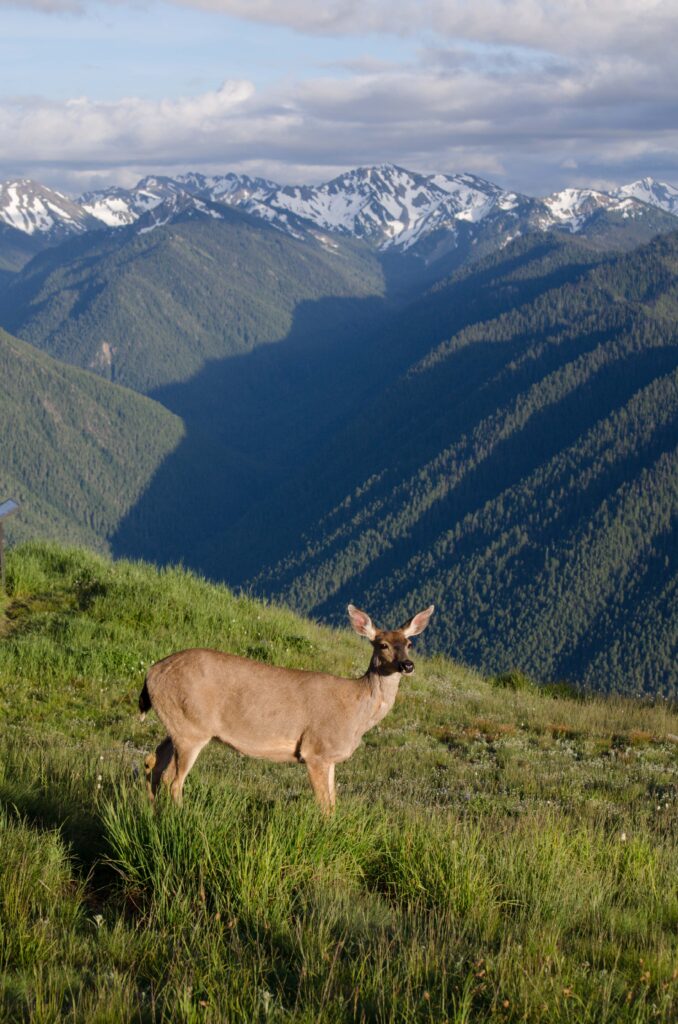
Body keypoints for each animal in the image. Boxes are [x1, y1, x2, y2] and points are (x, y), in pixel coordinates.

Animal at [139, 603, 434, 813]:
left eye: (409, 643)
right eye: (383, 644)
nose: (408, 665)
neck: (356, 710)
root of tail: (151, 673)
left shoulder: (330, 758)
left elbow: (334, 802)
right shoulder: (316, 750)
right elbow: (324, 806)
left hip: (177, 724)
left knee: (154, 764)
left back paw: (152, 812)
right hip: (192, 728)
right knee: (172, 780)